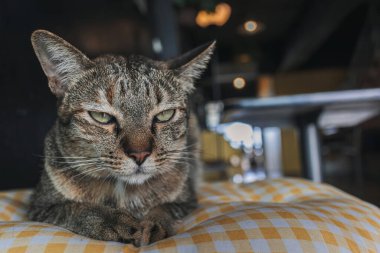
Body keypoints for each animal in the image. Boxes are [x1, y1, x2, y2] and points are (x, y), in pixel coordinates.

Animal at [27, 29, 214, 245]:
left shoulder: (187, 200)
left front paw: (155, 224)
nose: (140, 155)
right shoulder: (40, 207)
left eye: (164, 115)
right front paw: (116, 222)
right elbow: (77, 209)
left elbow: (165, 208)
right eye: (102, 117)